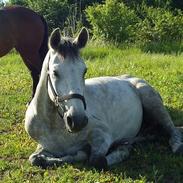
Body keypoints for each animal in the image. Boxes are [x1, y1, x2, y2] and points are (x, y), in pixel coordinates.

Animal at [24, 27, 183, 169]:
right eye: (55, 72)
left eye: (84, 71)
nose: (77, 120)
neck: (53, 124)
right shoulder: (44, 147)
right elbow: (35, 159)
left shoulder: (102, 136)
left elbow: (97, 160)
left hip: (152, 101)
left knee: (171, 129)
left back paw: (176, 146)